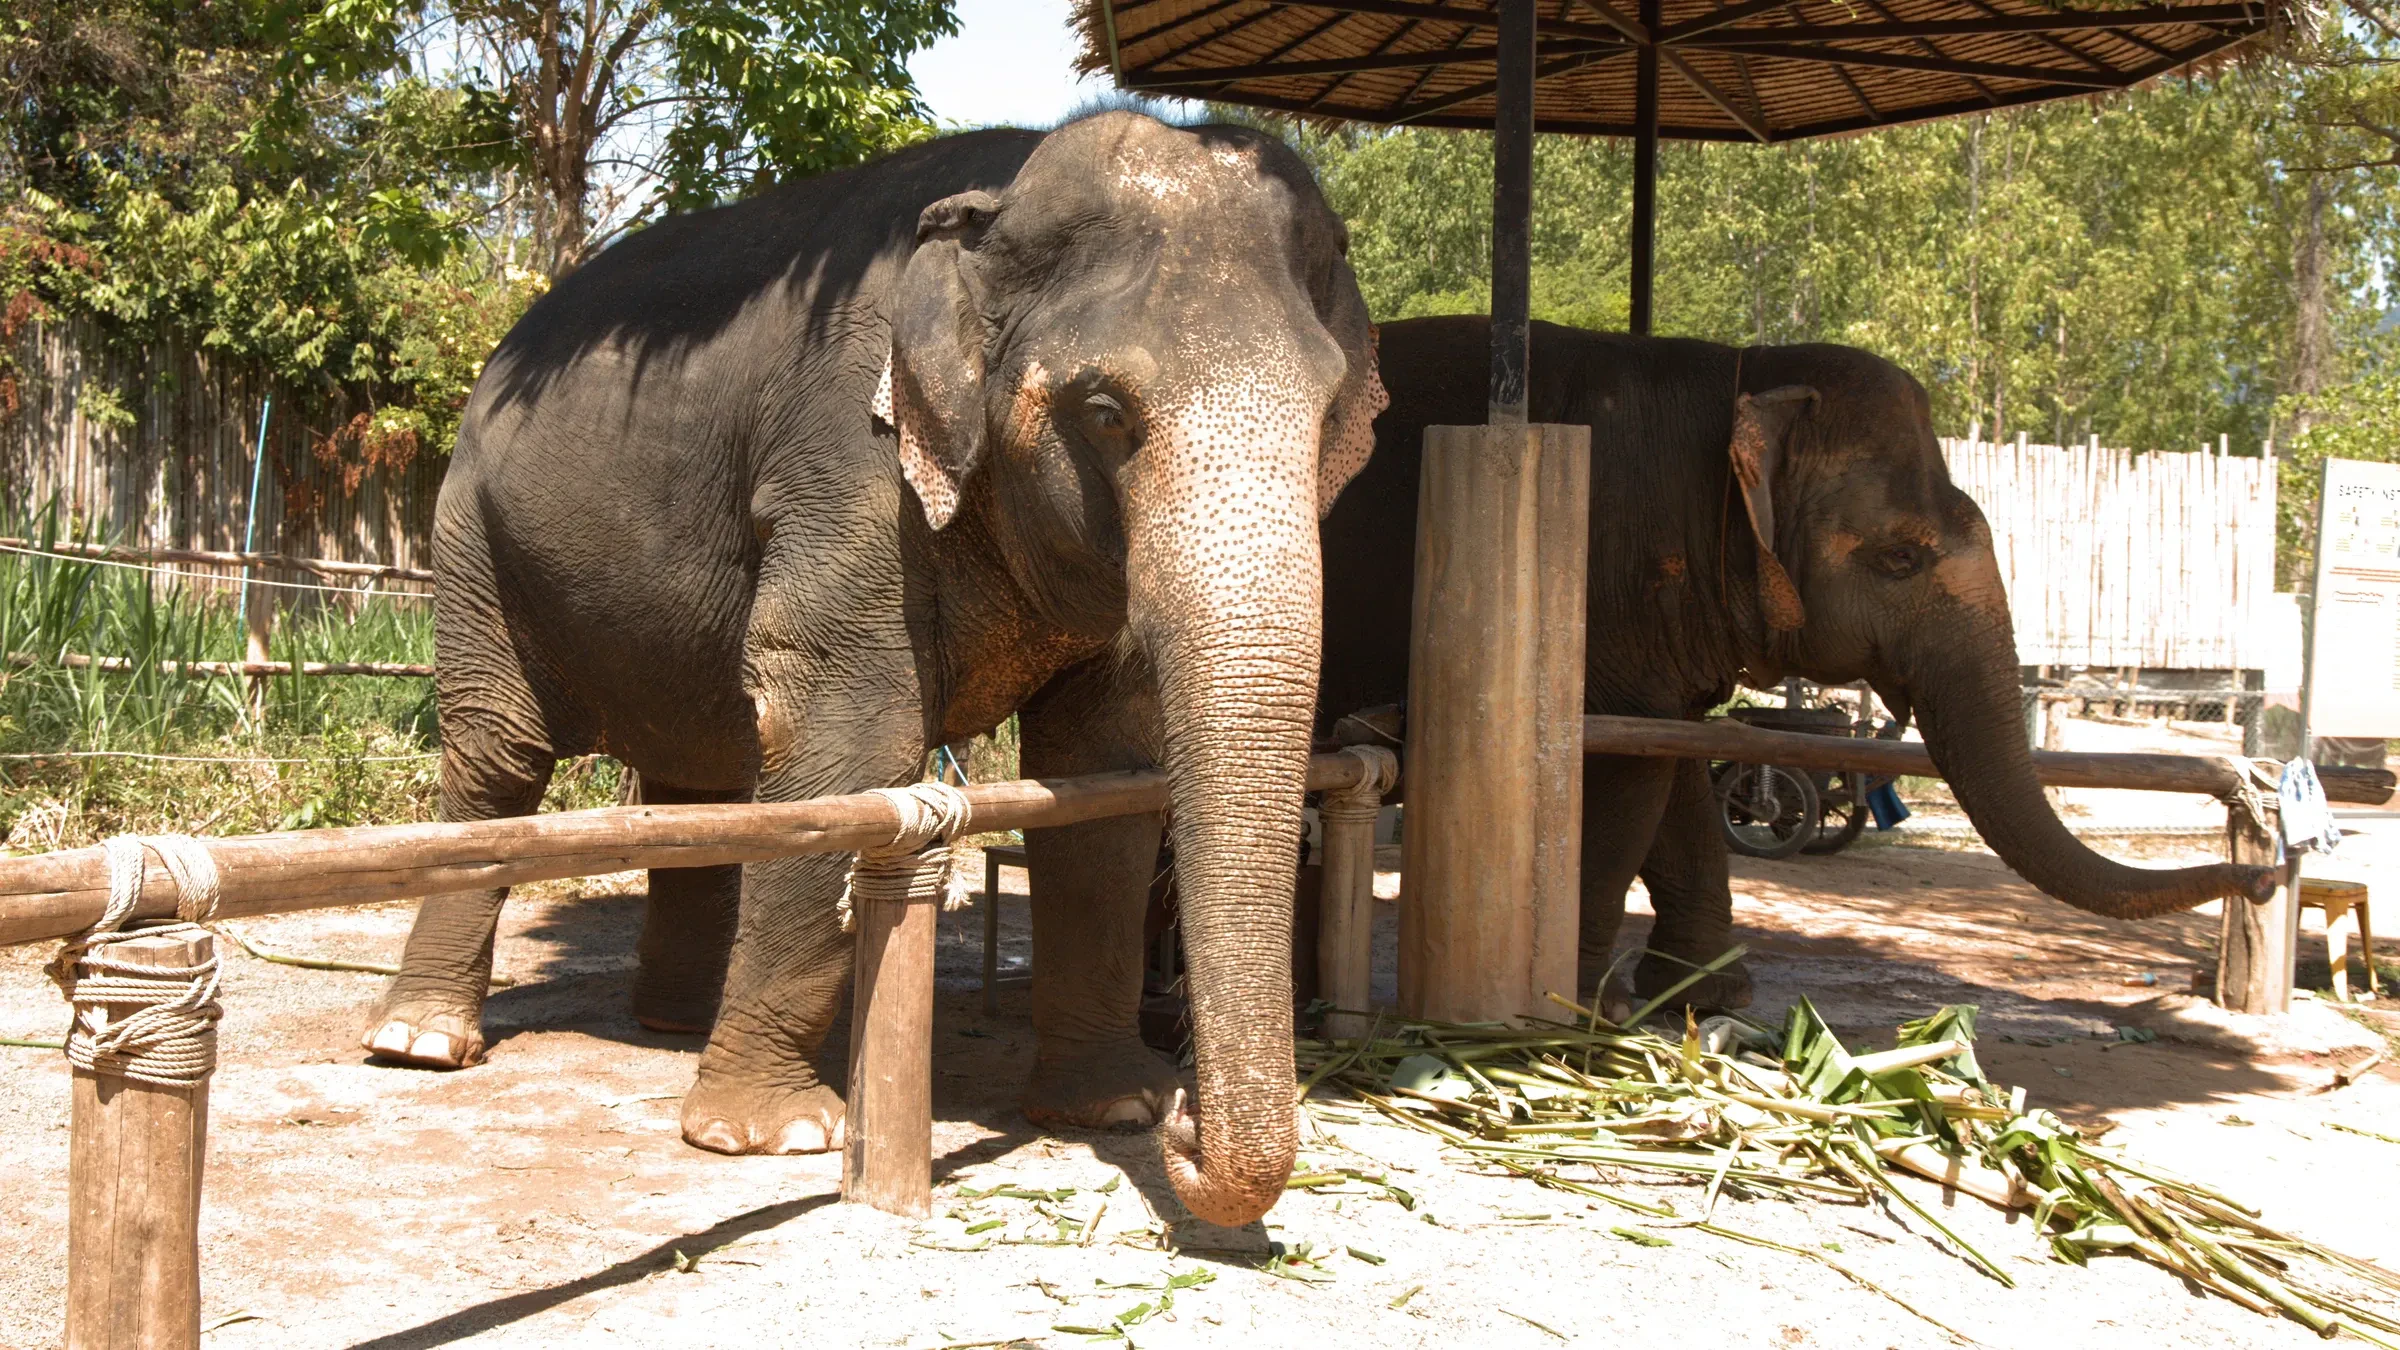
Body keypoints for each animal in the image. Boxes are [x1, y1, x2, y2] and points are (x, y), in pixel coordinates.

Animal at [357, 111, 1388, 1228]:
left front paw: (1114, 1108)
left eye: (1329, 415)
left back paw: (675, 1024)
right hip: (470, 540)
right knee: (500, 756)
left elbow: (1103, 778)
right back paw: (420, 1043)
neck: (1000, 204)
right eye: (1107, 410)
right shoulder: (847, 456)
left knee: (700, 774)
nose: (1191, 1126)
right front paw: (769, 1137)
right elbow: (848, 733)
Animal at [1310, 315, 2272, 1009]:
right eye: (1900, 558)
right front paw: (1562, 1017)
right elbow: (1618, 774)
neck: (1742, 375)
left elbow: (1674, 769)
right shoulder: (1601, 567)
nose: (2262, 876)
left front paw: (1707, 1000)